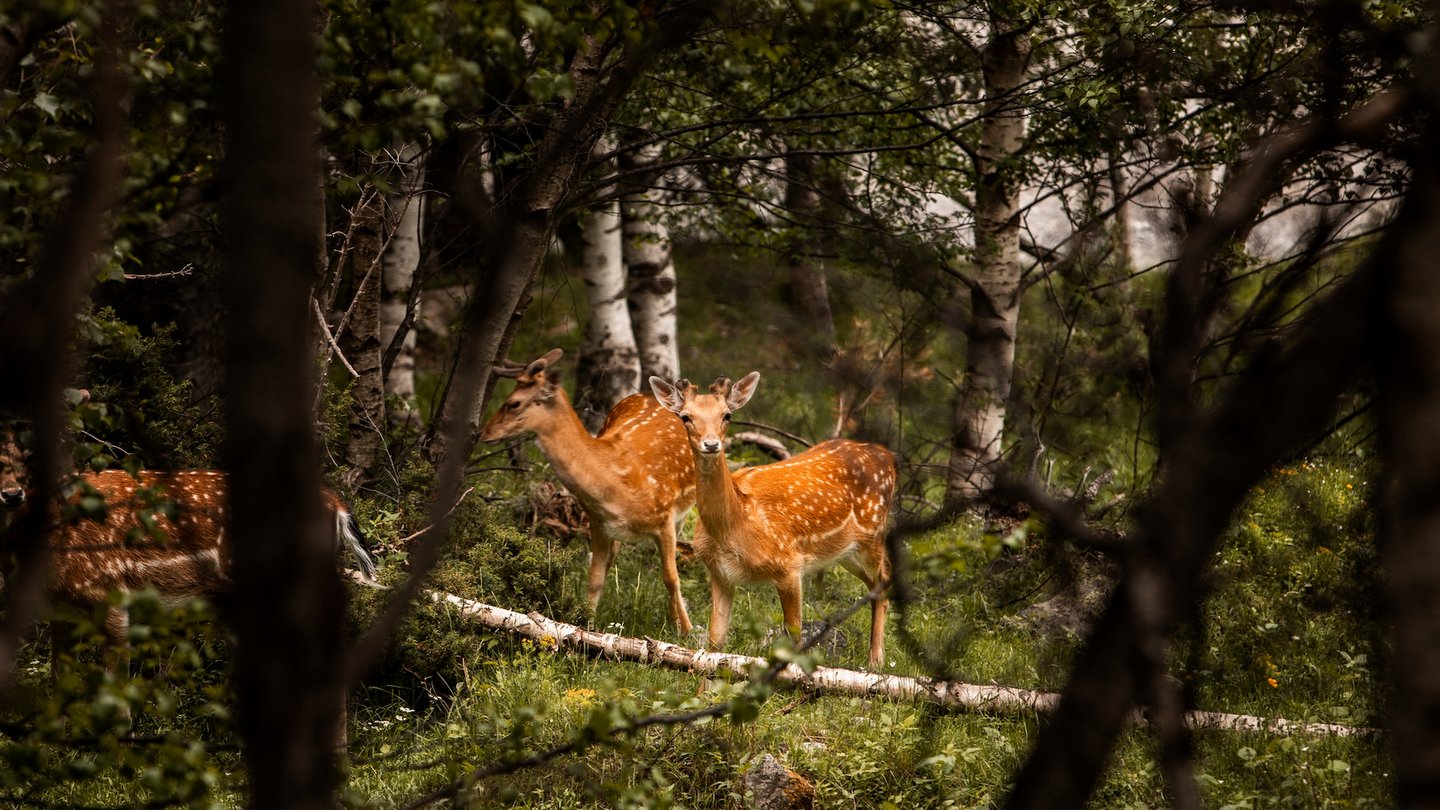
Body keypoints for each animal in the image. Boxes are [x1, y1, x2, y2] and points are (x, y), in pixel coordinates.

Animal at [480, 345, 699, 631]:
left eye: (514, 402)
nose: (483, 433)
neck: (615, 482)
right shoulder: (598, 521)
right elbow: (595, 578)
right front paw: (584, 625)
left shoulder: (665, 517)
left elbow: (672, 578)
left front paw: (686, 630)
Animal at [650, 371, 892, 668]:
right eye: (685, 417)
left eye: (727, 415)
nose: (711, 444)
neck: (733, 527)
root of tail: (888, 456)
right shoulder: (720, 573)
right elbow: (715, 643)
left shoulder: (789, 565)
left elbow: (795, 638)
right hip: (845, 552)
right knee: (875, 584)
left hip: (873, 534)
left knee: (884, 579)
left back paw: (876, 661)